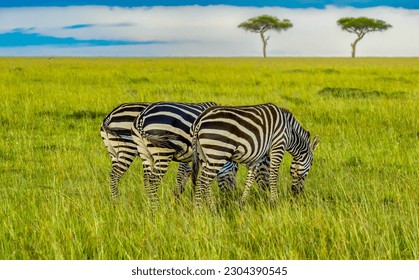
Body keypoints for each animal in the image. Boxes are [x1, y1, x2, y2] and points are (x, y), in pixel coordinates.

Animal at [130, 101, 270, 210]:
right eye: (266, 167)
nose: (267, 192)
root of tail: (142, 116)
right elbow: (190, 179)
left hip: (144, 152)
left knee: (146, 179)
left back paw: (150, 206)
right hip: (162, 152)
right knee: (153, 180)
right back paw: (156, 208)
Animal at [192, 103, 320, 210]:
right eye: (312, 163)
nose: (297, 192)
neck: (290, 132)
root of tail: (200, 119)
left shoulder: (259, 156)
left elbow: (250, 179)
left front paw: (242, 203)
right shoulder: (278, 146)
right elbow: (273, 176)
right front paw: (274, 202)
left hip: (204, 156)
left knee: (205, 182)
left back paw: (212, 208)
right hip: (217, 153)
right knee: (202, 182)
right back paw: (198, 210)